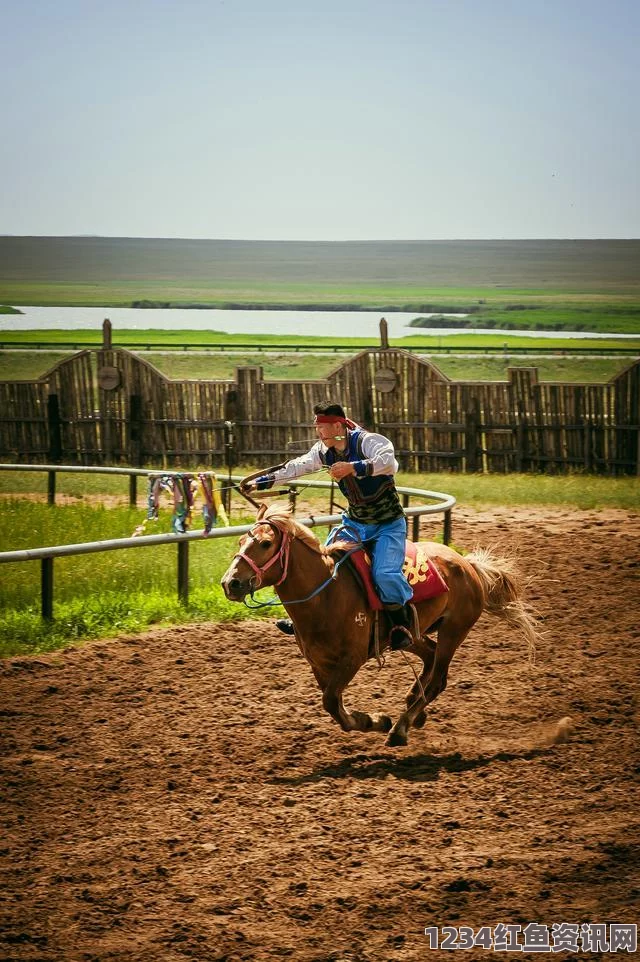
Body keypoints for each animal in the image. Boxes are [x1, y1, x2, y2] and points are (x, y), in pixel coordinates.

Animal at [220, 502, 536, 752]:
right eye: (240, 541)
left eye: (265, 544)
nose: (230, 583)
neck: (327, 594)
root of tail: (468, 565)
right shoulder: (318, 663)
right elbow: (333, 704)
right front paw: (374, 719)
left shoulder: (352, 658)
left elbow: (331, 702)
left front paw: (379, 721)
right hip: (414, 635)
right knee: (430, 657)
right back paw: (413, 704)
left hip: (454, 631)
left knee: (438, 678)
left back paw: (401, 727)